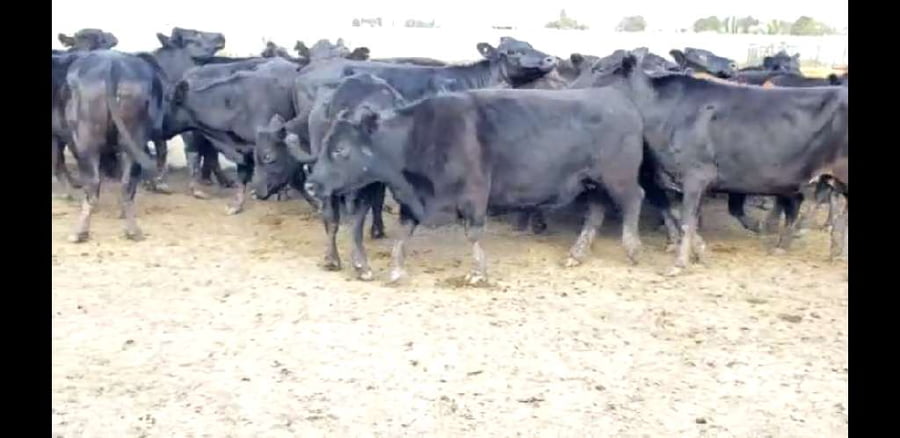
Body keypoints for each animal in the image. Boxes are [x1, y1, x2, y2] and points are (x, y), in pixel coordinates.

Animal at [62, 50, 166, 243]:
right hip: (133, 136)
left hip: (87, 138)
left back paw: (79, 232)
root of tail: (113, 65)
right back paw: (133, 231)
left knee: (93, 181)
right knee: (126, 181)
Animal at [301, 87, 646, 285]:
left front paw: (479, 273)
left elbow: (474, 233)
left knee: (633, 199)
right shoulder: (412, 201)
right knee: (596, 211)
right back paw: (576, 253)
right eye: (325, 144)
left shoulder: (475, 194)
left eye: (341, 149)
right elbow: (403, 235)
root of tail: (618, 99)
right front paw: (397, 269)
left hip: (618, 176)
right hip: (592, 182)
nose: (311, 184)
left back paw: (632, 248)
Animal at [578, 51, 847, 273]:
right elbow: (679, 216)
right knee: (835, 213)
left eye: (600, 69)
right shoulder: (674, 179)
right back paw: (828, 251)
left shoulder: (696, 175)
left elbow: (686, 221)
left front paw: (680, 264)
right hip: (834, 180)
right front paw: (700, 252)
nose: (573, 88)